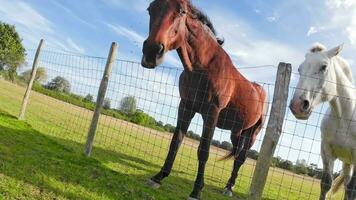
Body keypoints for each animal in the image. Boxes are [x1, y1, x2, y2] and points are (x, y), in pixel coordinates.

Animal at [140, 0, 268, 199]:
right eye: (150, 9)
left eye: (182, 12)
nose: (152, 52)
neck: (203, 67)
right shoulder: (186, 107)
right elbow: (176, 142)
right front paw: (158, 177)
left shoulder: (211, 113)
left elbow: (204, 150)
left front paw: (196, 190)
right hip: (236, 132)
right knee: (237, 155)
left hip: (252, 132)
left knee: (241, 158)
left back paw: (229, 187)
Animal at [290, 43, 356, 199]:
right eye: (300, 69)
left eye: (324, 67)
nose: (297, 106)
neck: (345, 118)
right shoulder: (326, 150)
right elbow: (326, 183)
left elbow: (352, 190)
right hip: (347, 163)